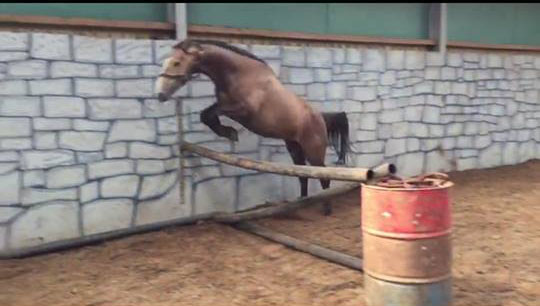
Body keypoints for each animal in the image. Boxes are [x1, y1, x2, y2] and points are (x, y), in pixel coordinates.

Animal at [155, 38, 350, 215]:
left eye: (176, 62)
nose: (160, 95)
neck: (239, 74)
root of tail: (320, 117)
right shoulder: (224, 105)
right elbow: (206, 114)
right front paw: (228, 132)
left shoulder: (242, 110)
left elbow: (210, 114)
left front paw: (230, 133)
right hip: (295, 148)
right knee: (303, 174)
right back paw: (302, 201)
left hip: (313, 151)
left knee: (323, 175)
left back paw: (326, 209)